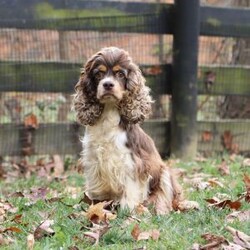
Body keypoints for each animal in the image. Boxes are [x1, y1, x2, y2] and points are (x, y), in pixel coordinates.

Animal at [72, 47, 182, 215]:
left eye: (120, 74)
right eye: (98, 74)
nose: (108, 84)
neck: (109, 113)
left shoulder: (132, 162)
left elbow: (131, 188)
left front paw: (127, 209)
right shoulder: (93, 160)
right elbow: (97, 188)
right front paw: (96, 205)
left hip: (164, 173)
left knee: (163, 196)